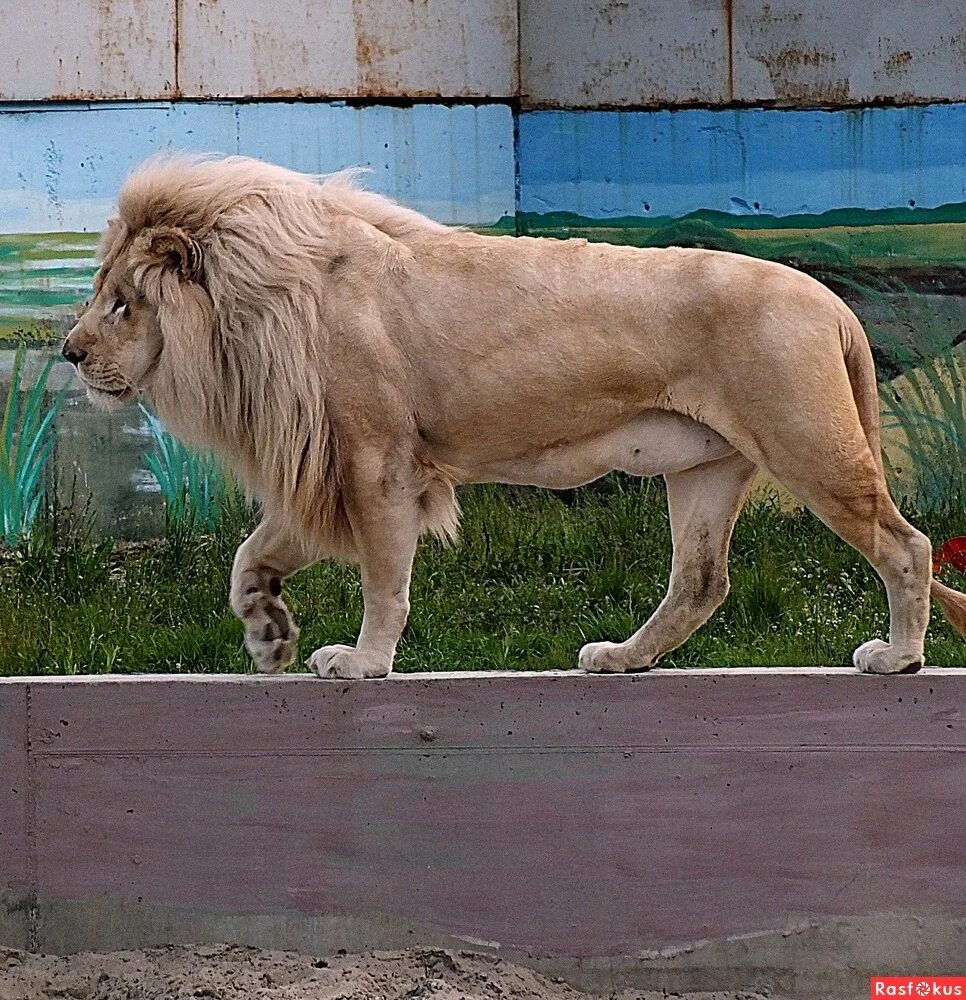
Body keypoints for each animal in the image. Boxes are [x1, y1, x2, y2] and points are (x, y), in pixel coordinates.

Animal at [62, 152, 966, 676]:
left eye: (120, 303)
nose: (68, 352)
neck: (258, 306)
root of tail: (833, 302)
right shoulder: (337, 468)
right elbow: (250, 555)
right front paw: (268, 634)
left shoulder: (377, 463)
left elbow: (385, 581)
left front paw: (363, 661)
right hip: (704, 467)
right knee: (702, 580)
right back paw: (623, 658)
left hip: (808, 445)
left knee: (907, 546)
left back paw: (901, 657)